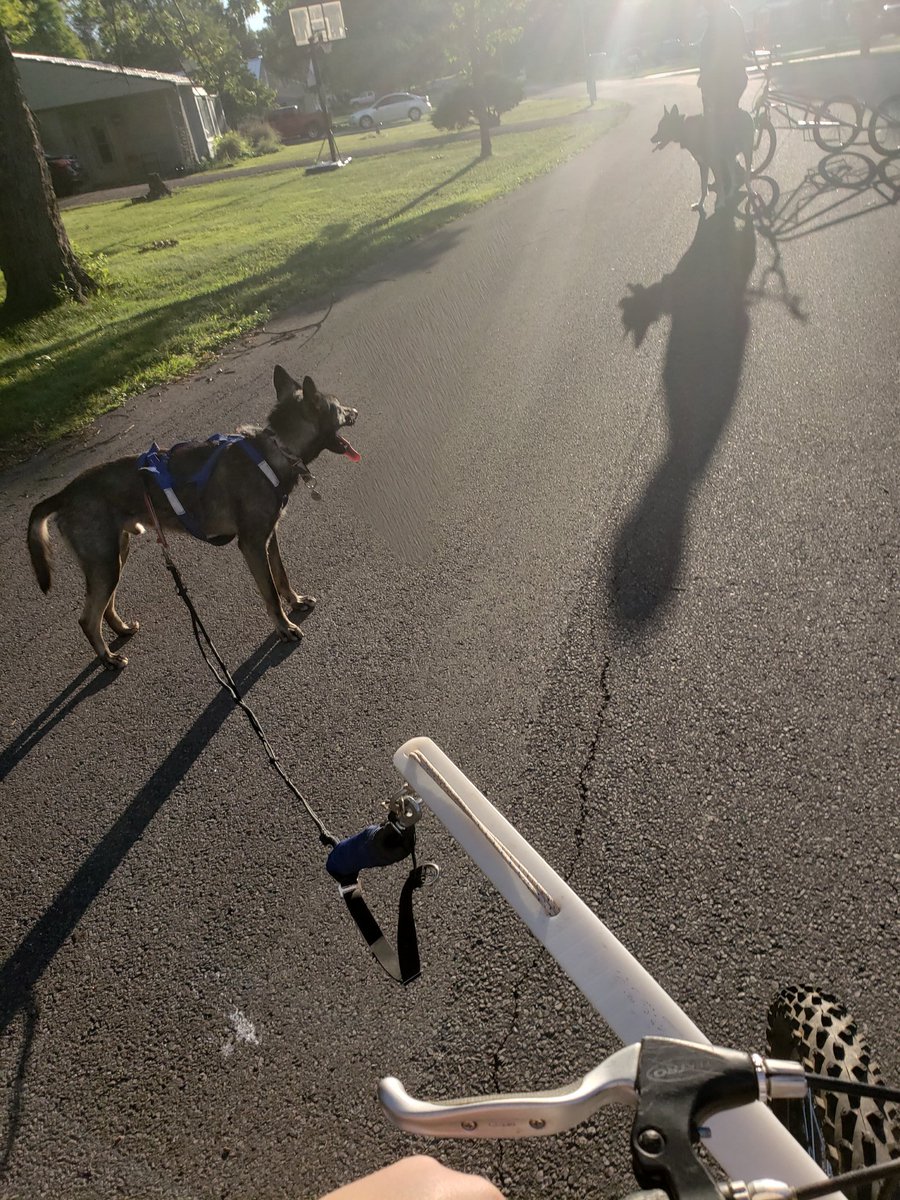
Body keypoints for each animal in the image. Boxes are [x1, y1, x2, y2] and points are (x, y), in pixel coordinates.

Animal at [28, 364, 360, 667]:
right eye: (340, 408)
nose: (356, 411)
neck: (276, 451)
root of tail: (66, 492)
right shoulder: (252, 545)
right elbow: (270, 594)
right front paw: (284, 627)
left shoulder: (269, 538)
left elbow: (281, 576)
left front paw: (296, 600)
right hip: (105, 563)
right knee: (87, 619)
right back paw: (107, 658)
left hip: (113, 556)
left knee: (105, 607)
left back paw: (120, 630)